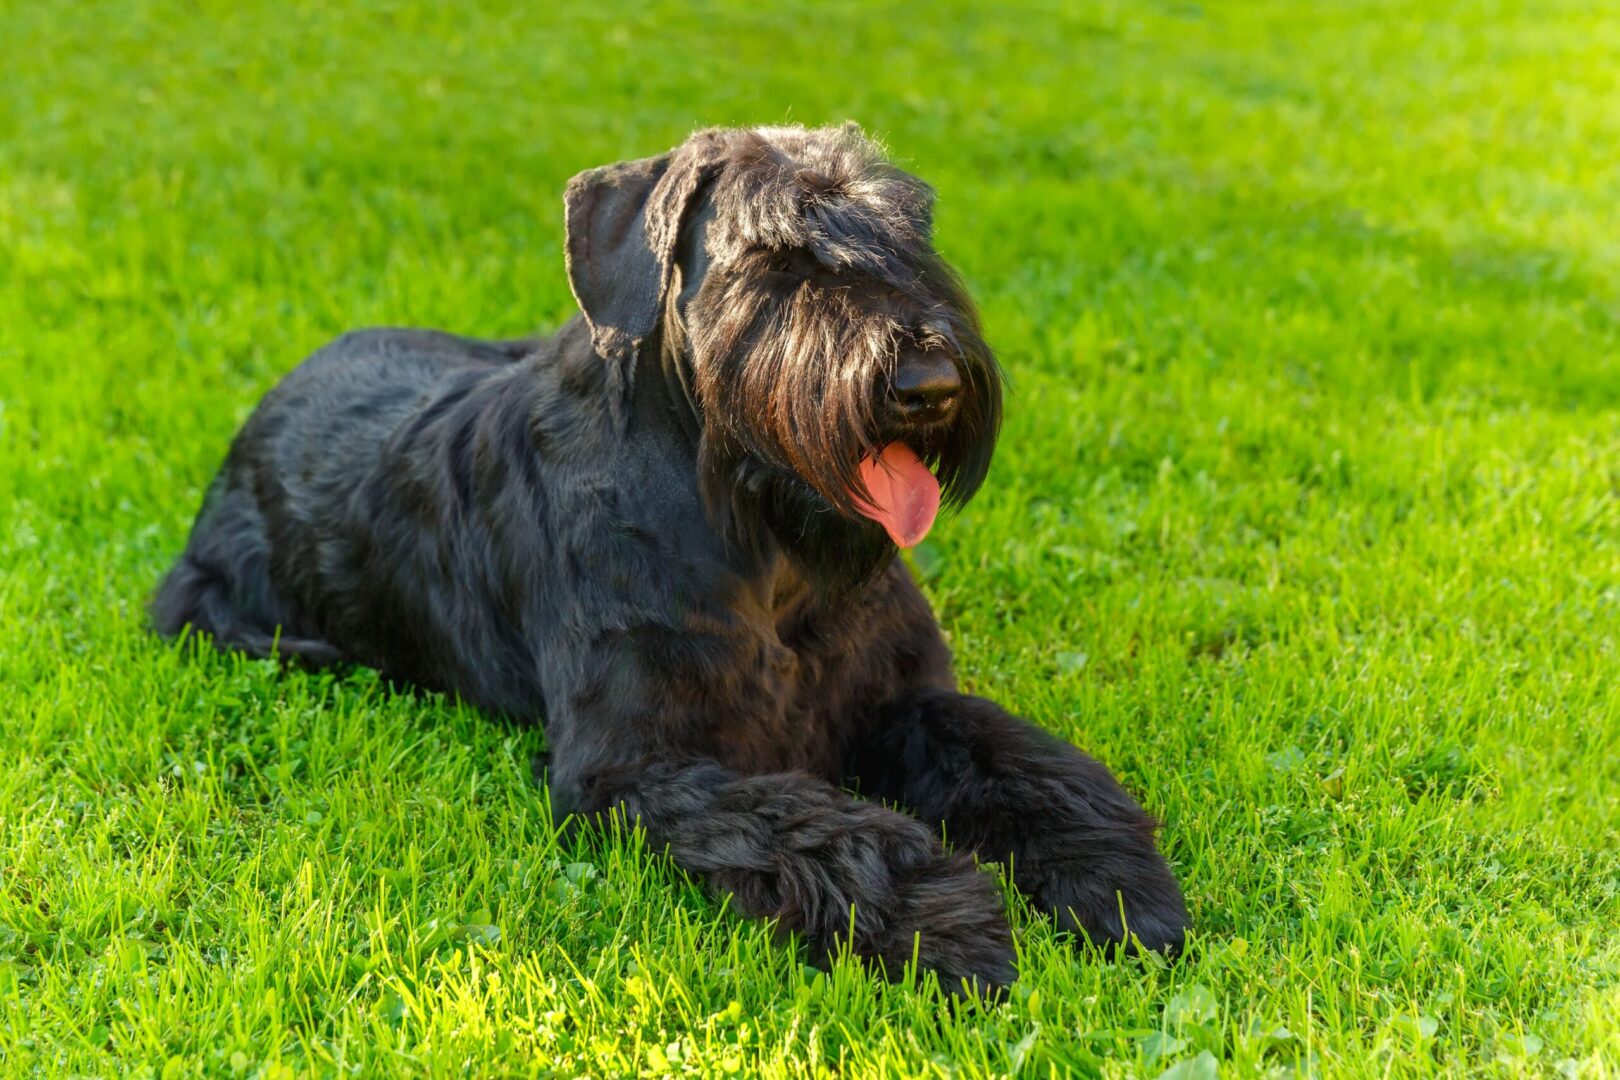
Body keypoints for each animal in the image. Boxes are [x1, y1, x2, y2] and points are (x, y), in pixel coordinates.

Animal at [152, 124, 1192, 990]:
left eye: (911, 232)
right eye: (776, 253)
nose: (929, 384)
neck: (765, 552)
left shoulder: (903, 699)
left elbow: (1029, 765)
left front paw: (1115, 878)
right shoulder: (637, 766)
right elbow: (829, 830)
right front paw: (949, 920)